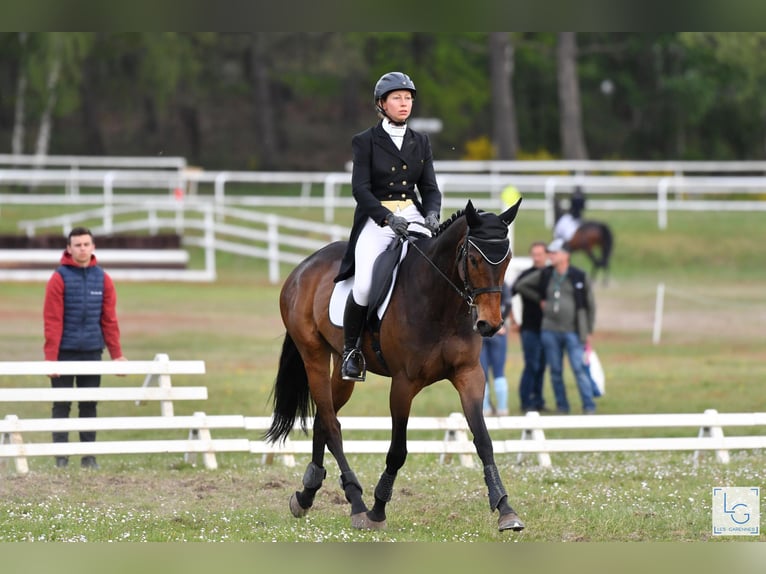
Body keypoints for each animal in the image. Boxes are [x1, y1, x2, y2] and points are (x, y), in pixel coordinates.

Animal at [268, 201, 524, 536]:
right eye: (472, 258)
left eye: (507, 259)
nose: (489, 325)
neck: (439, 300)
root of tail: (303, 268)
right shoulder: (403, 384)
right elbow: (397, 450)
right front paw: (377, 510)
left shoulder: (469, 376)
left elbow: (483, 441)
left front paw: (506, 510)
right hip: (313, 356)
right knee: (332, 425)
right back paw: (357, 503)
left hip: (343, 369)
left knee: (325, 419)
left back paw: (306, 495)